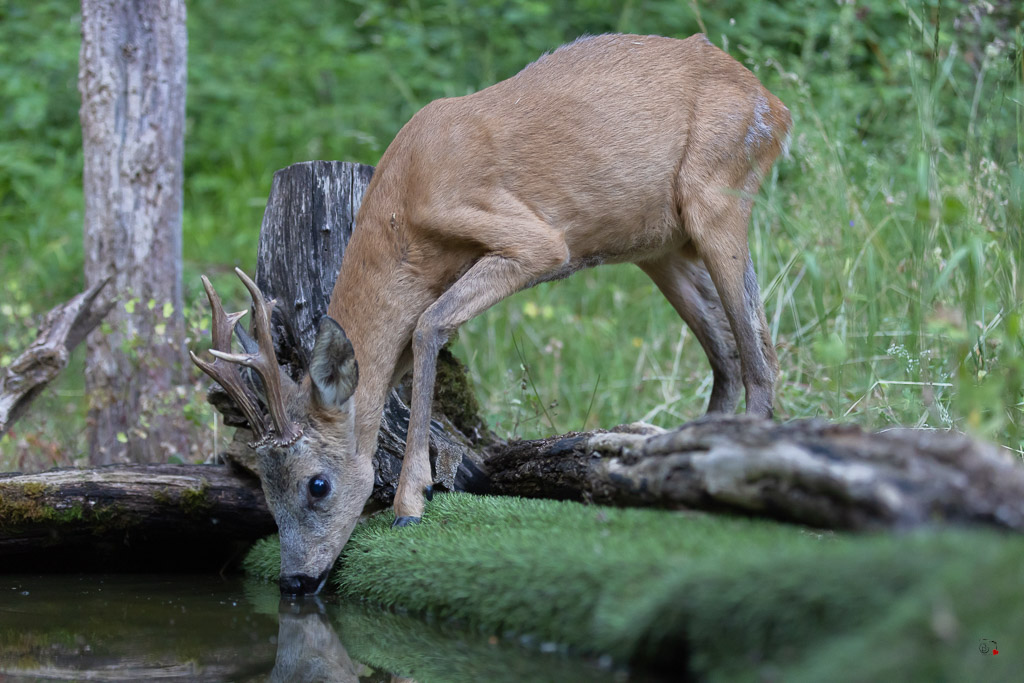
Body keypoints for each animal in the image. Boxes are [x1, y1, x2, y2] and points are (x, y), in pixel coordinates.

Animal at [191, 33, 791, 595]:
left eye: (317, 484)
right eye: (264, 488)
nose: (294, 580)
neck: (405, 214)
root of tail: (774, 104)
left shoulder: (537, 242)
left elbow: (428, 326)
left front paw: (411, 504)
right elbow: (411, 341)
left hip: (720, 192)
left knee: (760, 356)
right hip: (661, 247)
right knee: (729, 356)